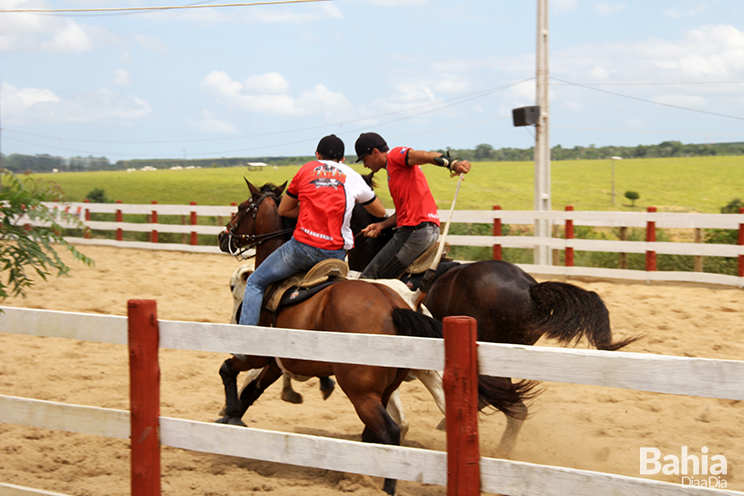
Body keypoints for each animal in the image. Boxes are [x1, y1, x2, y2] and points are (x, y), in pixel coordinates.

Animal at [217, 180, 528, 494]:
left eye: (242, 207)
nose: (223, 236)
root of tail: (401, 303)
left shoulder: (257, 354)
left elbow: (230, 370)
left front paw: (229, 412)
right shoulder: (275, 361)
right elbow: (251, 391)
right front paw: (234, 416)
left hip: (362, 390)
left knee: (392, 428)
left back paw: (386, 483)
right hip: (400, 382)